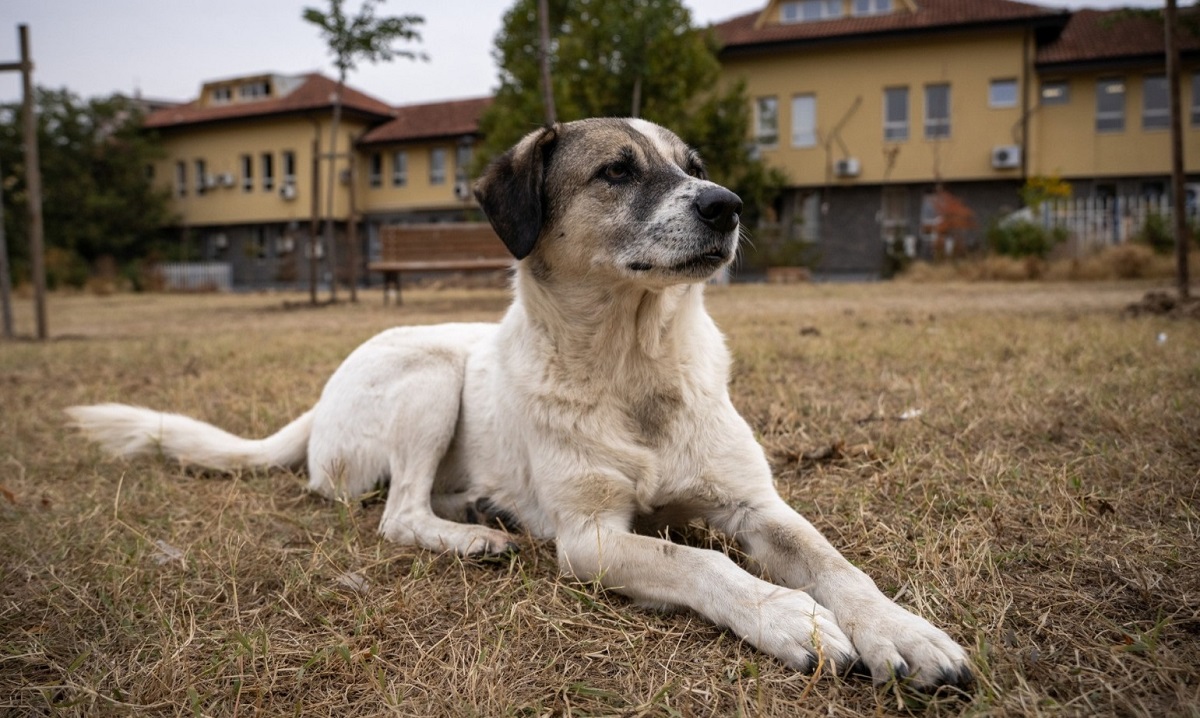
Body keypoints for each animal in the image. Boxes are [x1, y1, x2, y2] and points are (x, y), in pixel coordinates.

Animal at [65, 118, 969, 691]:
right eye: (617, 170)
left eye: (690, 163)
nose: (728, 204)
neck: (631, 368)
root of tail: (318, 405)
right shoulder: (590, 537)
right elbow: (701, 563)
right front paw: (792, 620)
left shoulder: (754, 503)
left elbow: (835, 563)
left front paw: (904, 631)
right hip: (432, 376)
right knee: (397, 513)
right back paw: (474, 537)